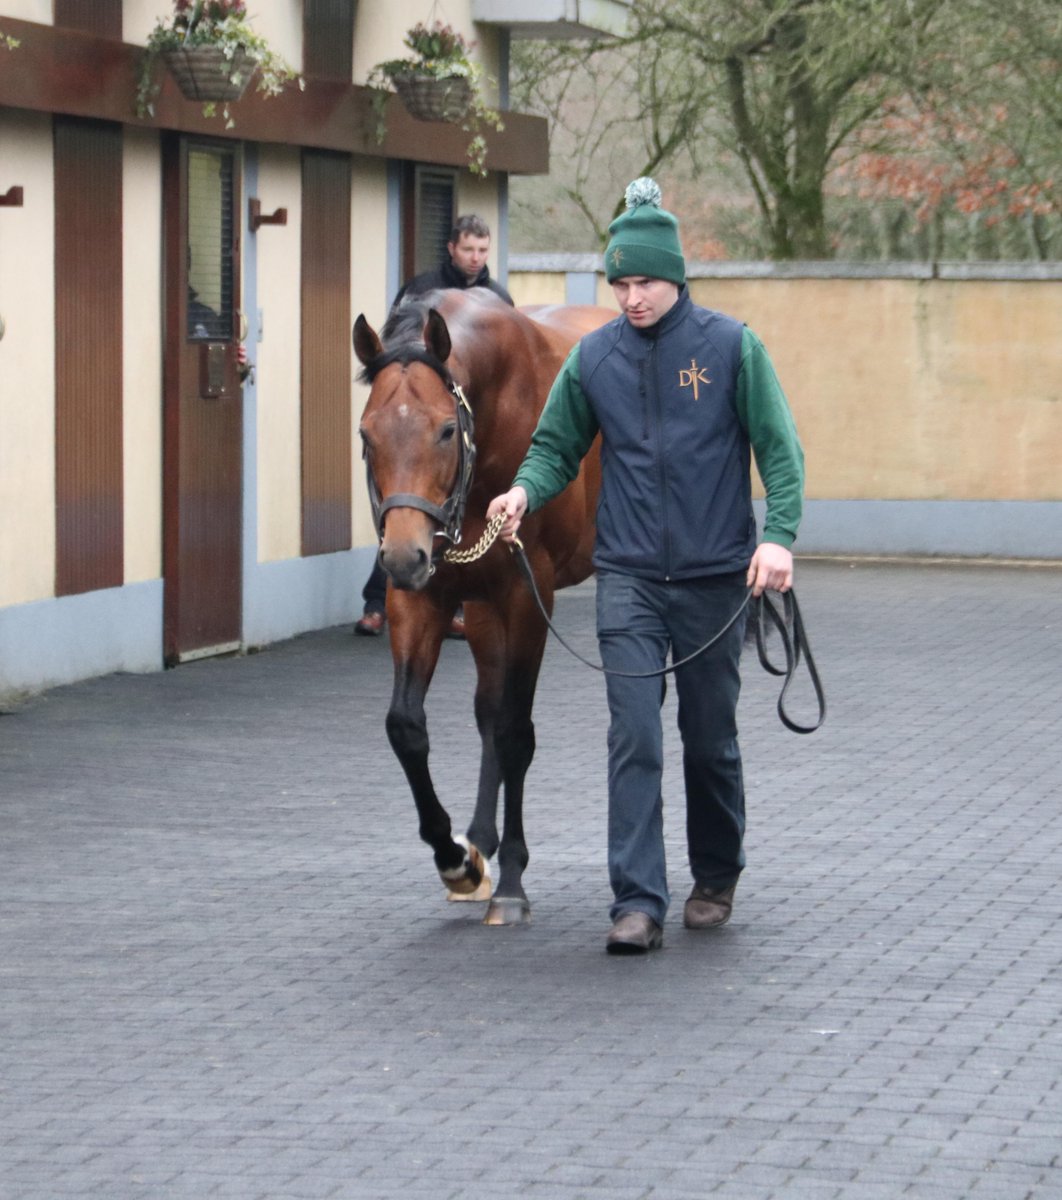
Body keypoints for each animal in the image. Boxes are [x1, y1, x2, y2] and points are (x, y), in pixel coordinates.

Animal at [352, 290, 609, 926]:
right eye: (367, 434)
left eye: (446, 430)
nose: (402, 555)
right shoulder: (423, 597)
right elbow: (407, 726)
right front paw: (457, 860)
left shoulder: (527, 593)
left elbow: (517, 731)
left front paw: (512, 882)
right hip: (481, 607)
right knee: (486, 708)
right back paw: (478, 839)